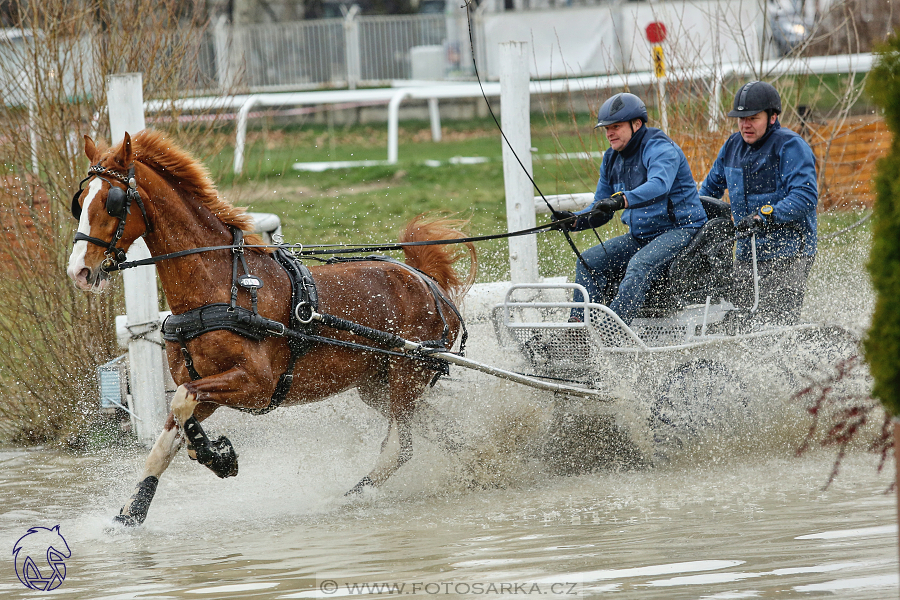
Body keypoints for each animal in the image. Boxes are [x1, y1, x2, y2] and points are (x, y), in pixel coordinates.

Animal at [68, 131, 478, 524]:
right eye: (80, 200)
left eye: (111, 201)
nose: (79, 271)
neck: (223, 286)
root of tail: (425, 281)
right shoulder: (209, 388)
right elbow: (165, 441)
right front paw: (131, 513)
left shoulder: (255, 385)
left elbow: (182, 398)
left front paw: (215, 456)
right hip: (378, 385)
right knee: (443, 431)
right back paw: (480, 465)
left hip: (406, 376)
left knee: (399, 448)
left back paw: (348, 498)